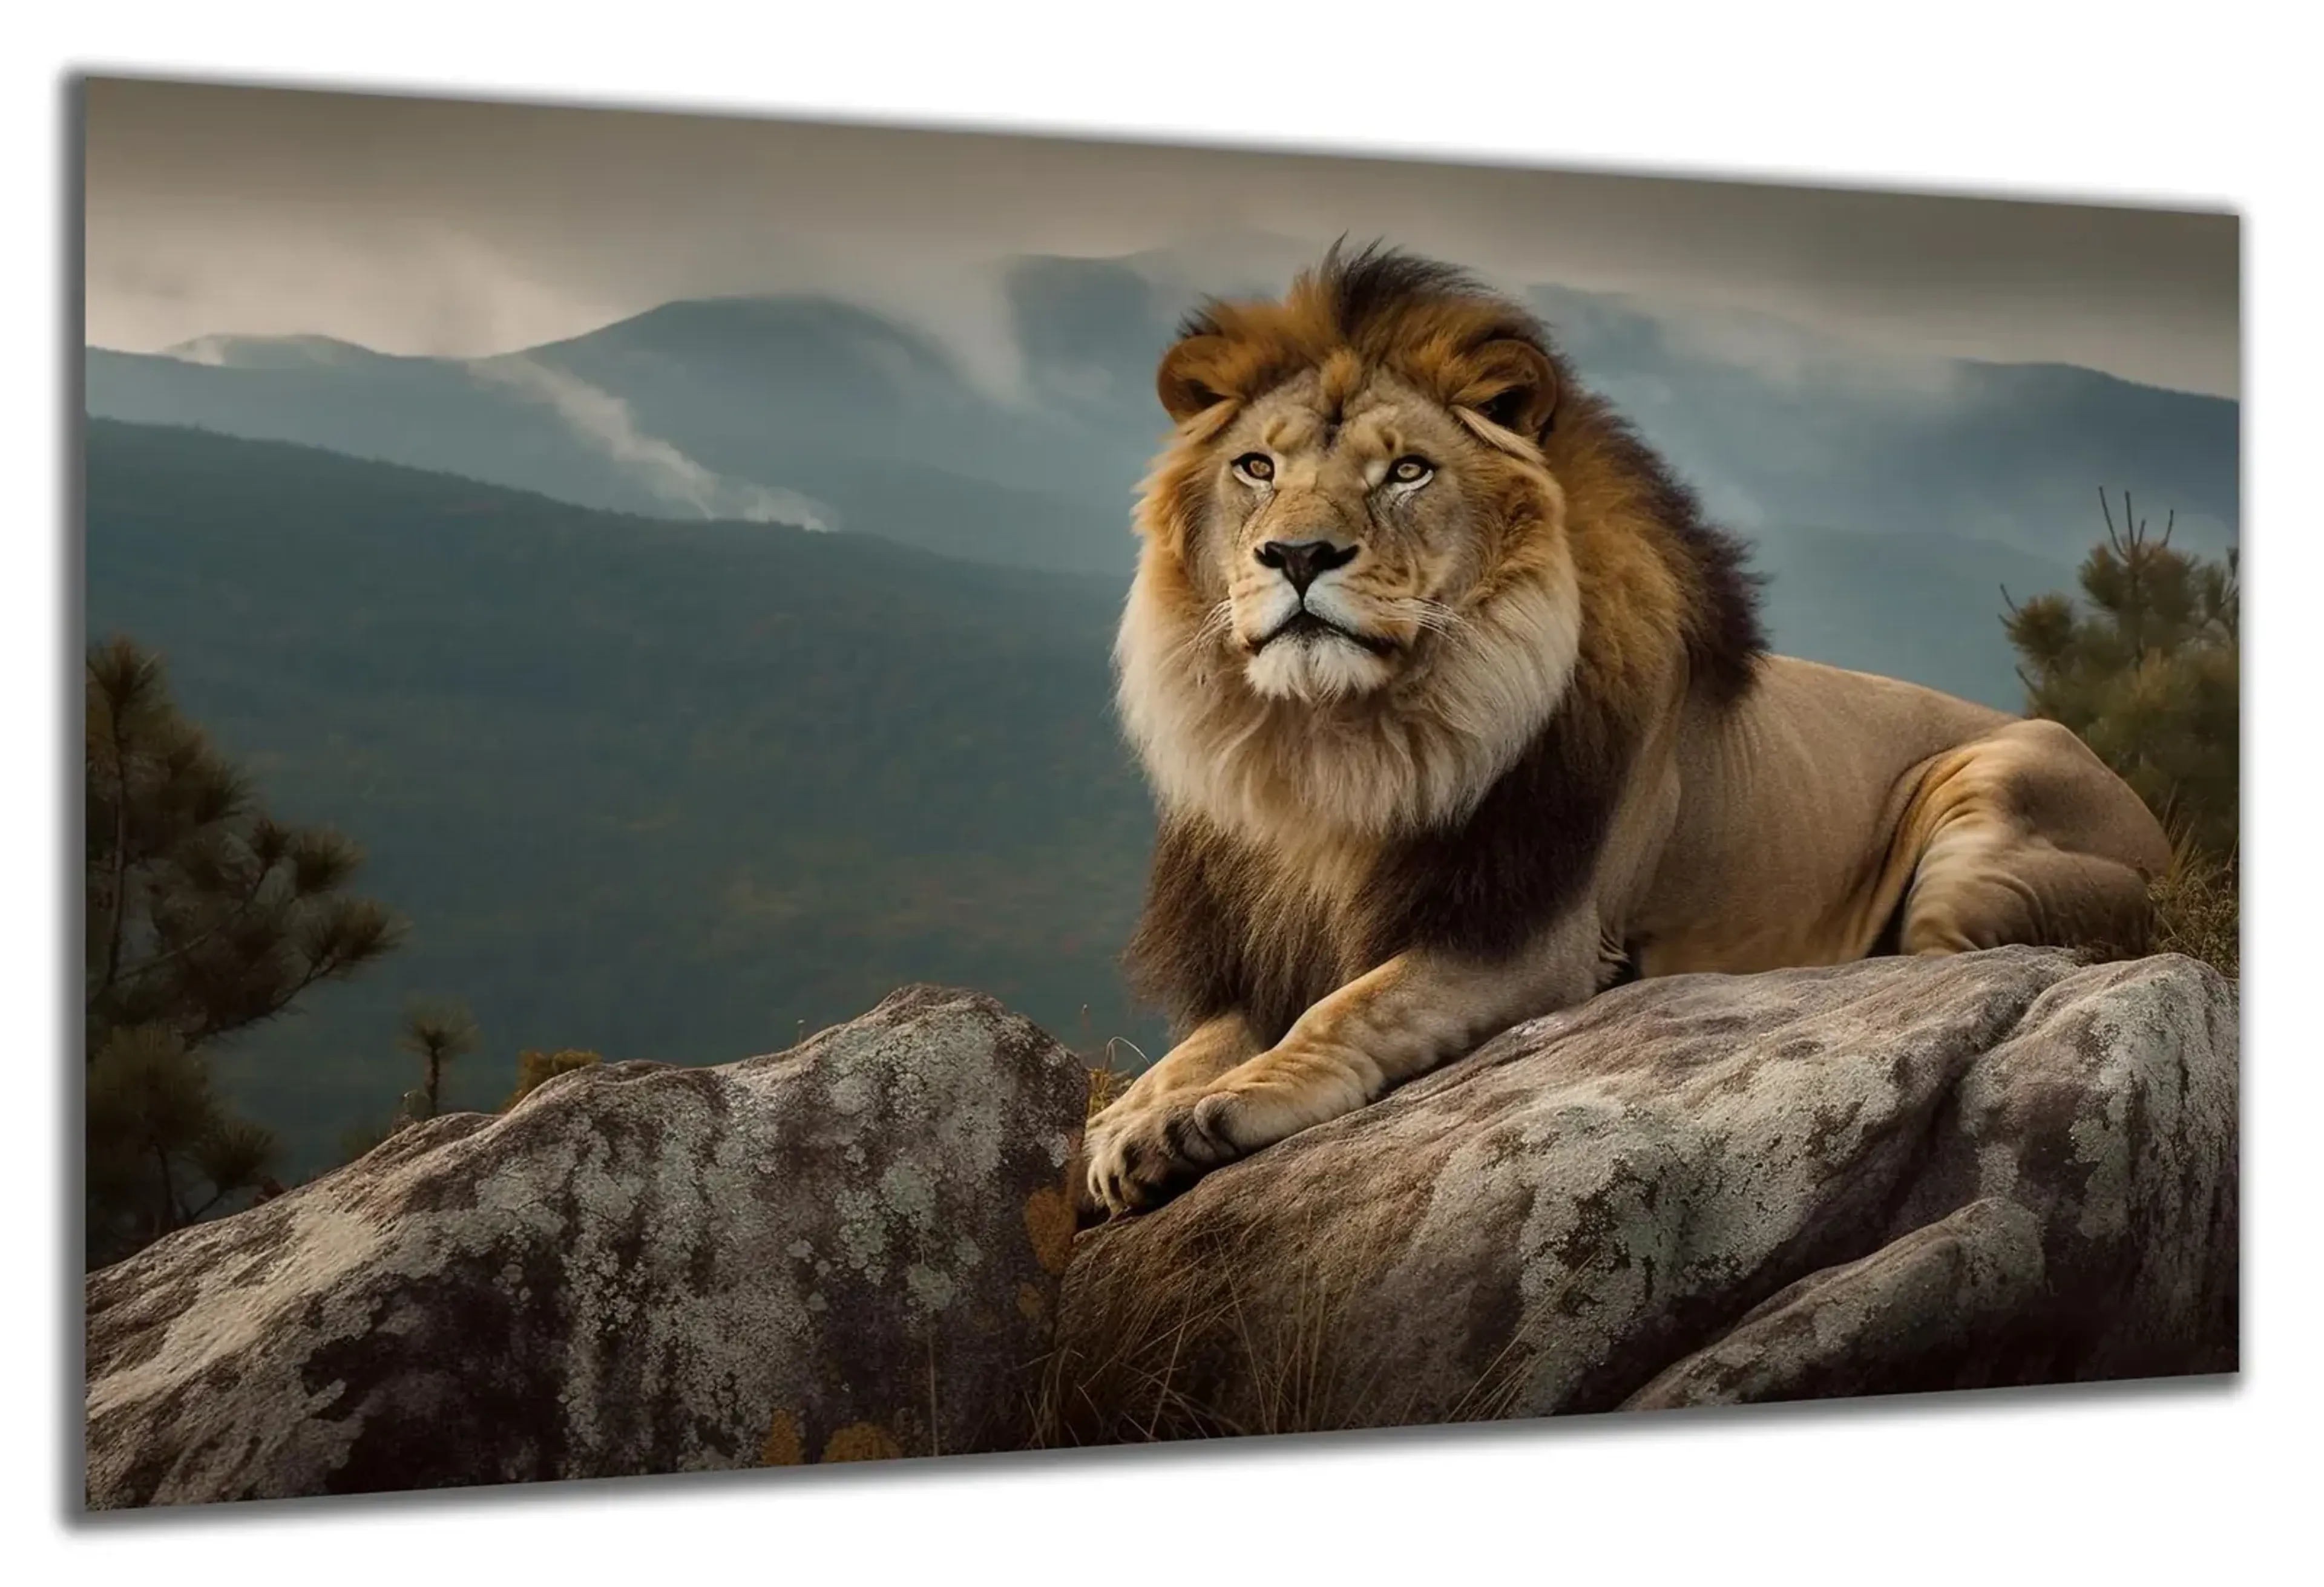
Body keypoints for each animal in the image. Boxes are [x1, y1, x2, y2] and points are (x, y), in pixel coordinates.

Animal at [1080, 241, 2175, 1218]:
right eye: (1257, 467)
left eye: (1408, 472)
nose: (1299, 554)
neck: (1338, 749)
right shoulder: (1266, 942)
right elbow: (1201, 1040)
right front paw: (1125, 1121)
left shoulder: (1530, 937)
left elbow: (1346, 1008)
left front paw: (1208, 1111)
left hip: (1992, 811)